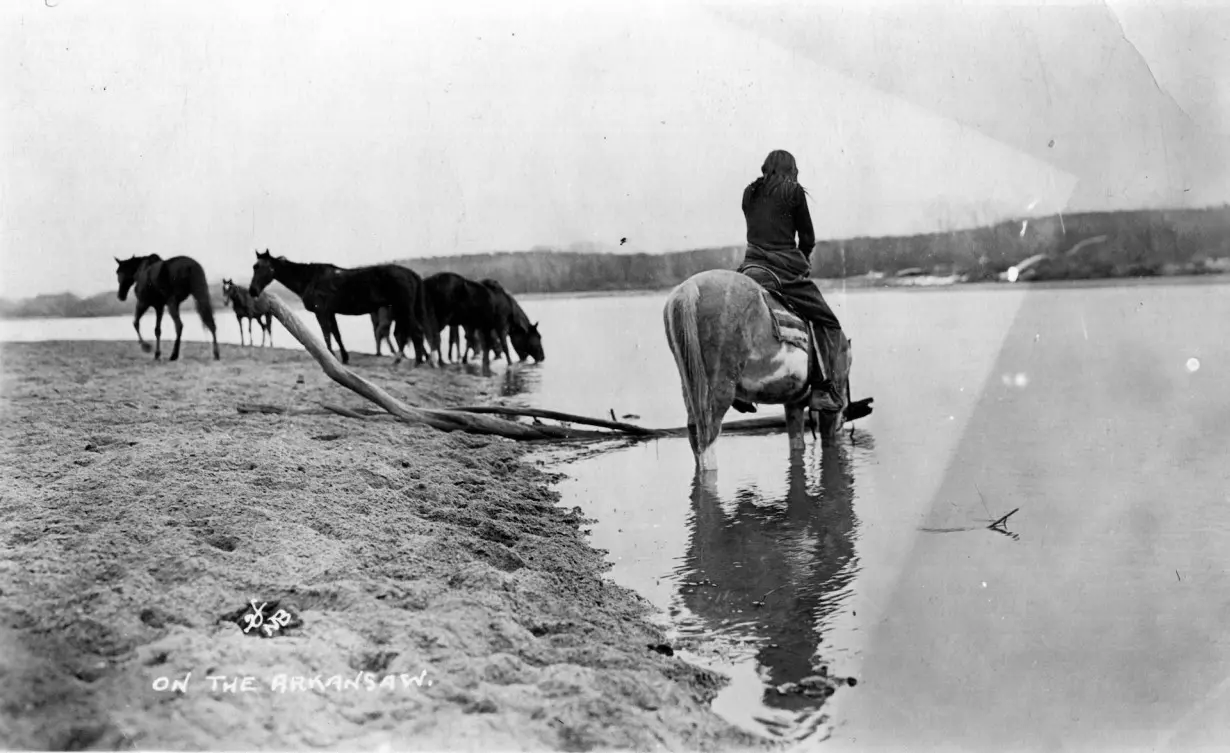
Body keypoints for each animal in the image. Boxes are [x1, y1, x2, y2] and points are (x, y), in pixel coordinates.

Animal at [246, 249, 432, 364]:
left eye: (263, 267)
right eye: (254, 267)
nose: (252, 290)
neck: (310, 278)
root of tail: (410, 273)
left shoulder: (321, 312)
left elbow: (327, 335)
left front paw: (331, 356)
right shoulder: (330, 312)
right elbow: (337, 335)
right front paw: (344, 357)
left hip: (404, 308)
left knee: (415, 331)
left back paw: (414, 361)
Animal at [669, 269, 861, 470]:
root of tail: (689, 288)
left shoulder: (794, 404)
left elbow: (797, 446)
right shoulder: (828, 413)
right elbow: (828, 441)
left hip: (691, 388)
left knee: (695, 435)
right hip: (718, 391)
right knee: (708, 442)